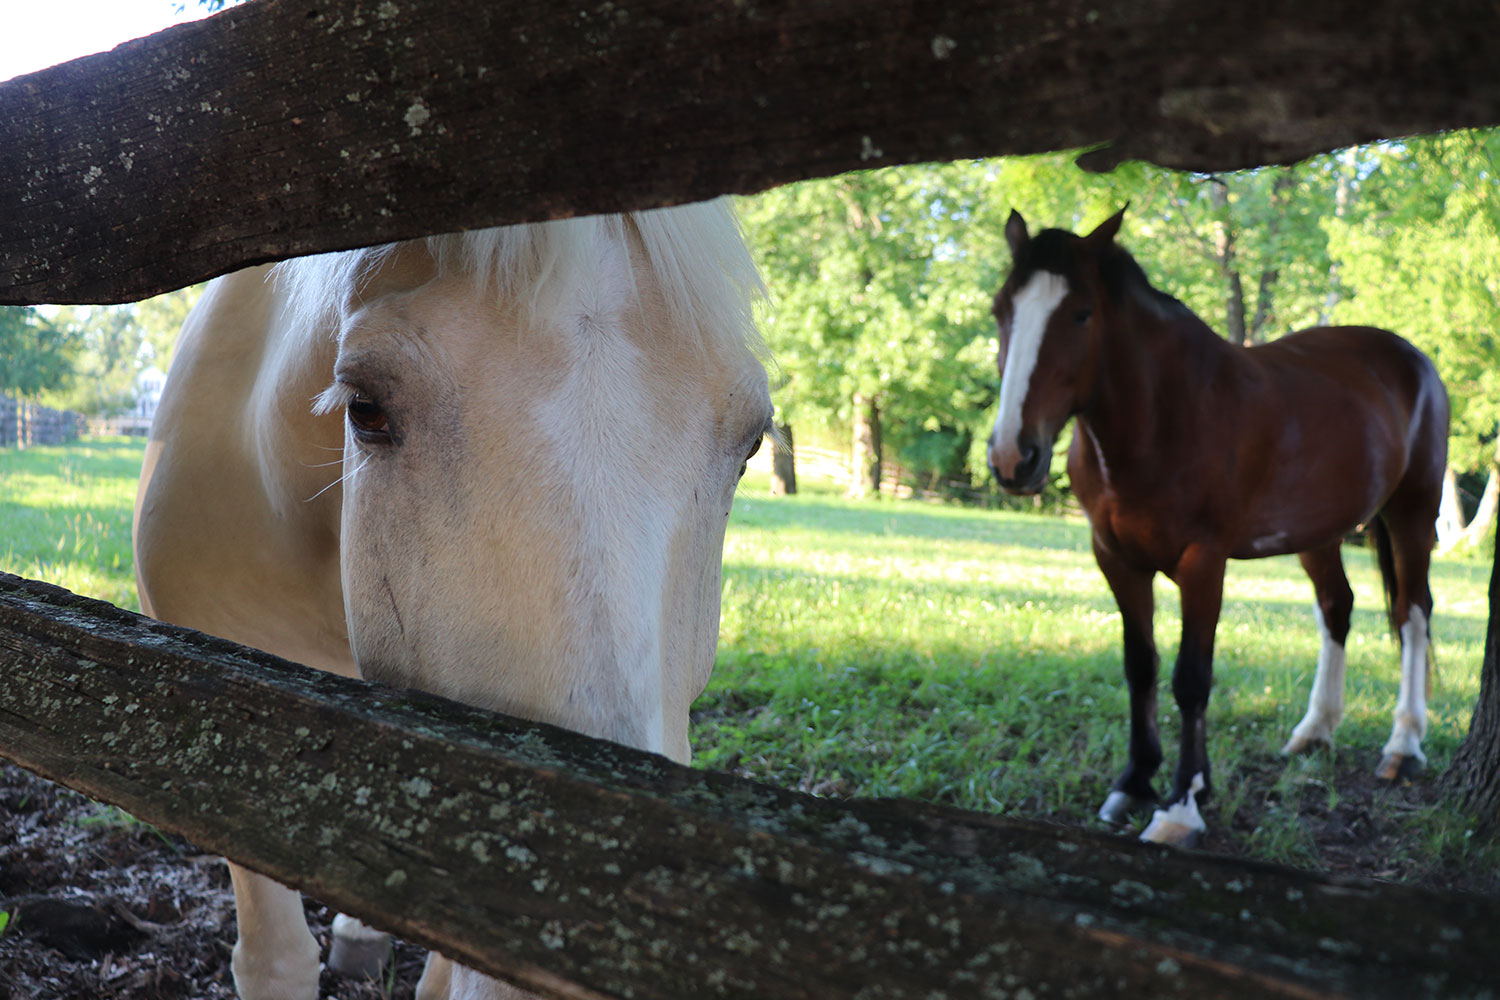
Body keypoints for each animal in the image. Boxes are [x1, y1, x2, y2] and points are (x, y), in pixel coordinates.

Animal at [990, 209, 1446, 845]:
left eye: (1081, 313)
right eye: (1000, 310)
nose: (1014, 458)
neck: (1164, 416)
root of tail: (1411, 359)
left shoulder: (1202, 561)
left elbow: (1191, 678)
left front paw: (1181, 806)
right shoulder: (1116, 558)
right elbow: (1141, 667)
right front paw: (1136, 782)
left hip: (1412, 513)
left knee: (1412, 613)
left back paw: (1403, 744)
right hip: (1319, 533)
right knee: (1338, 607)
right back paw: (1315, 731)